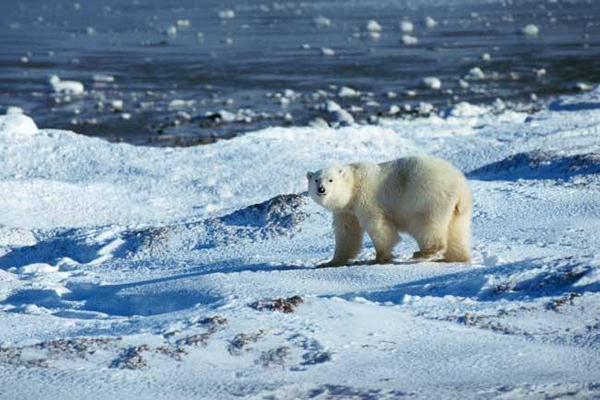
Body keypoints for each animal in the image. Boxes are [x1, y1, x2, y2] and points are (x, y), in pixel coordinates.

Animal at [310, 155, 474, 266]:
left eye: (331, 180)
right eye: (316, 180)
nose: (321, 189)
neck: (353, 184)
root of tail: (460, 187)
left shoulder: (366, 198)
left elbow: (379, 226)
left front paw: (379, 258)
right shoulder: (345, 210)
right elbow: (347, 232)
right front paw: (331, 262)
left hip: (427, 198)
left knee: (425, 225)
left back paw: (423, 253)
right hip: (458, 210)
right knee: (457, 231)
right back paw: (457, 258)